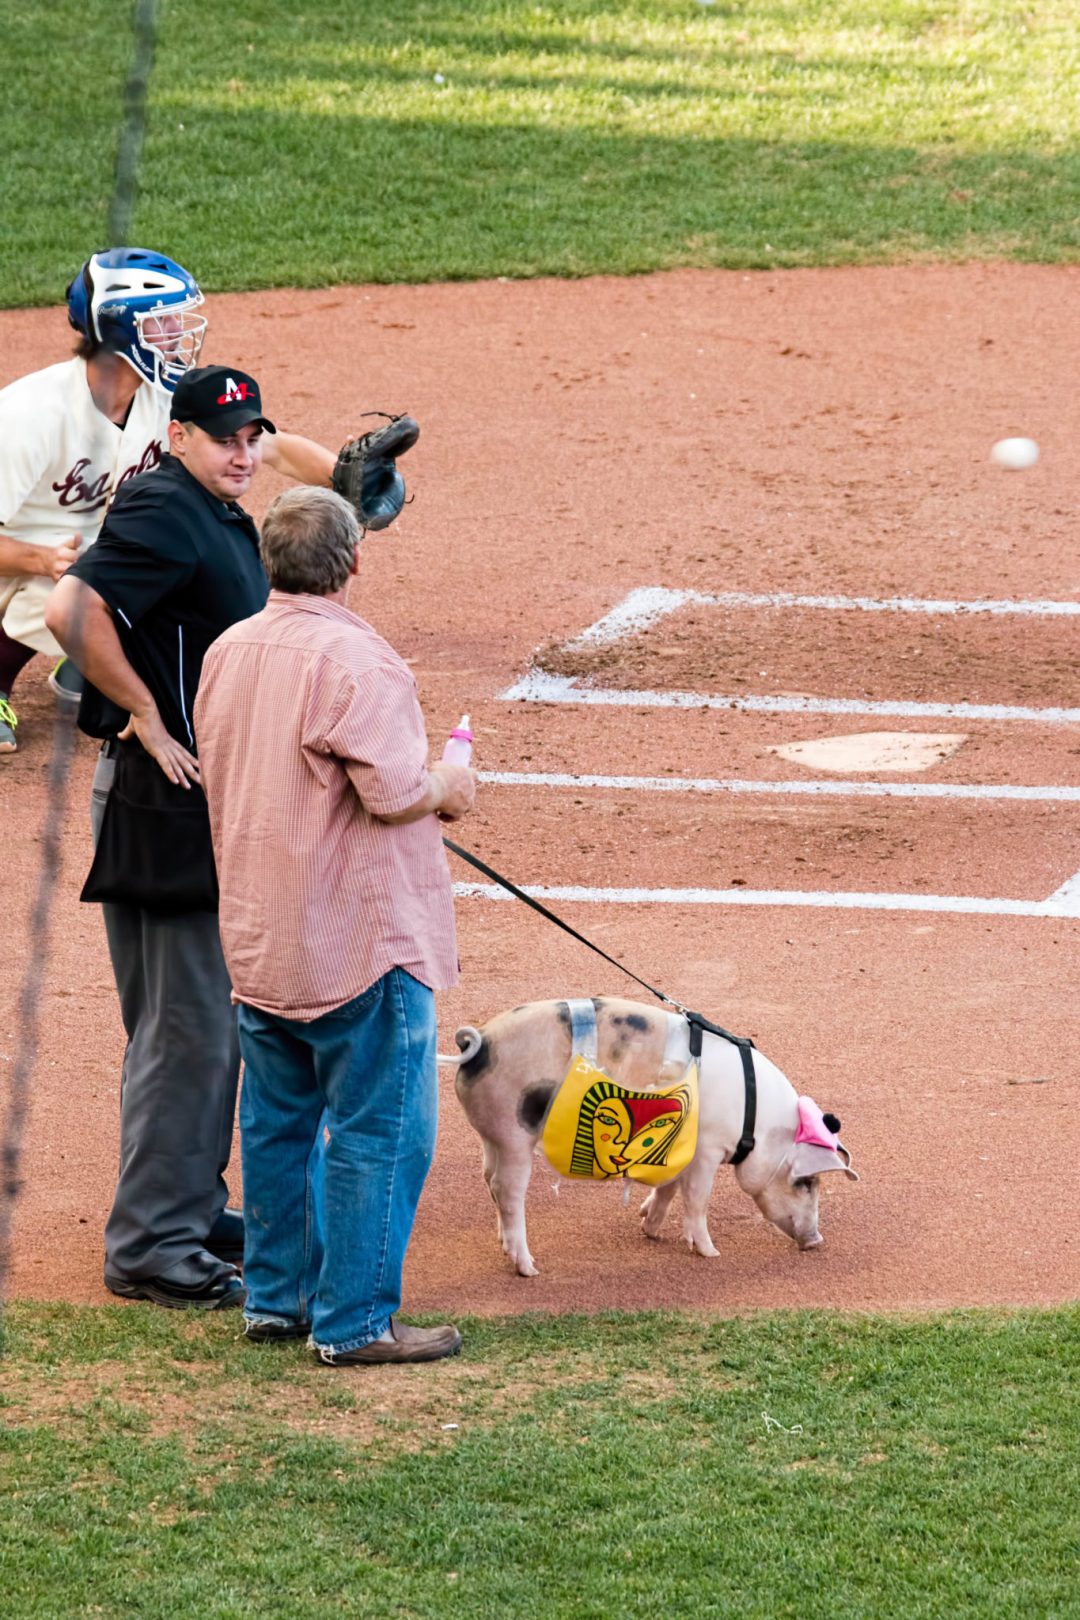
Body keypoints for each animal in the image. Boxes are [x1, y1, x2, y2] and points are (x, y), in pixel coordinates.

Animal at [443, 991, 854, 1270]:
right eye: (806, 1183)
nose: (817, 1241)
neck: (756, 1121)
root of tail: (477, 1043)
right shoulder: (707, 1148)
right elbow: (697, 1198)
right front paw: (710, 1252)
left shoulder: (681, 1146)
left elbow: (669, 1187)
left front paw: (651, 1229)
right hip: (514, 1131)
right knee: (507, 1190)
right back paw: (528, 1267)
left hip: (492, 1136)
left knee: (488, 1177)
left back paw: (504, 1245)